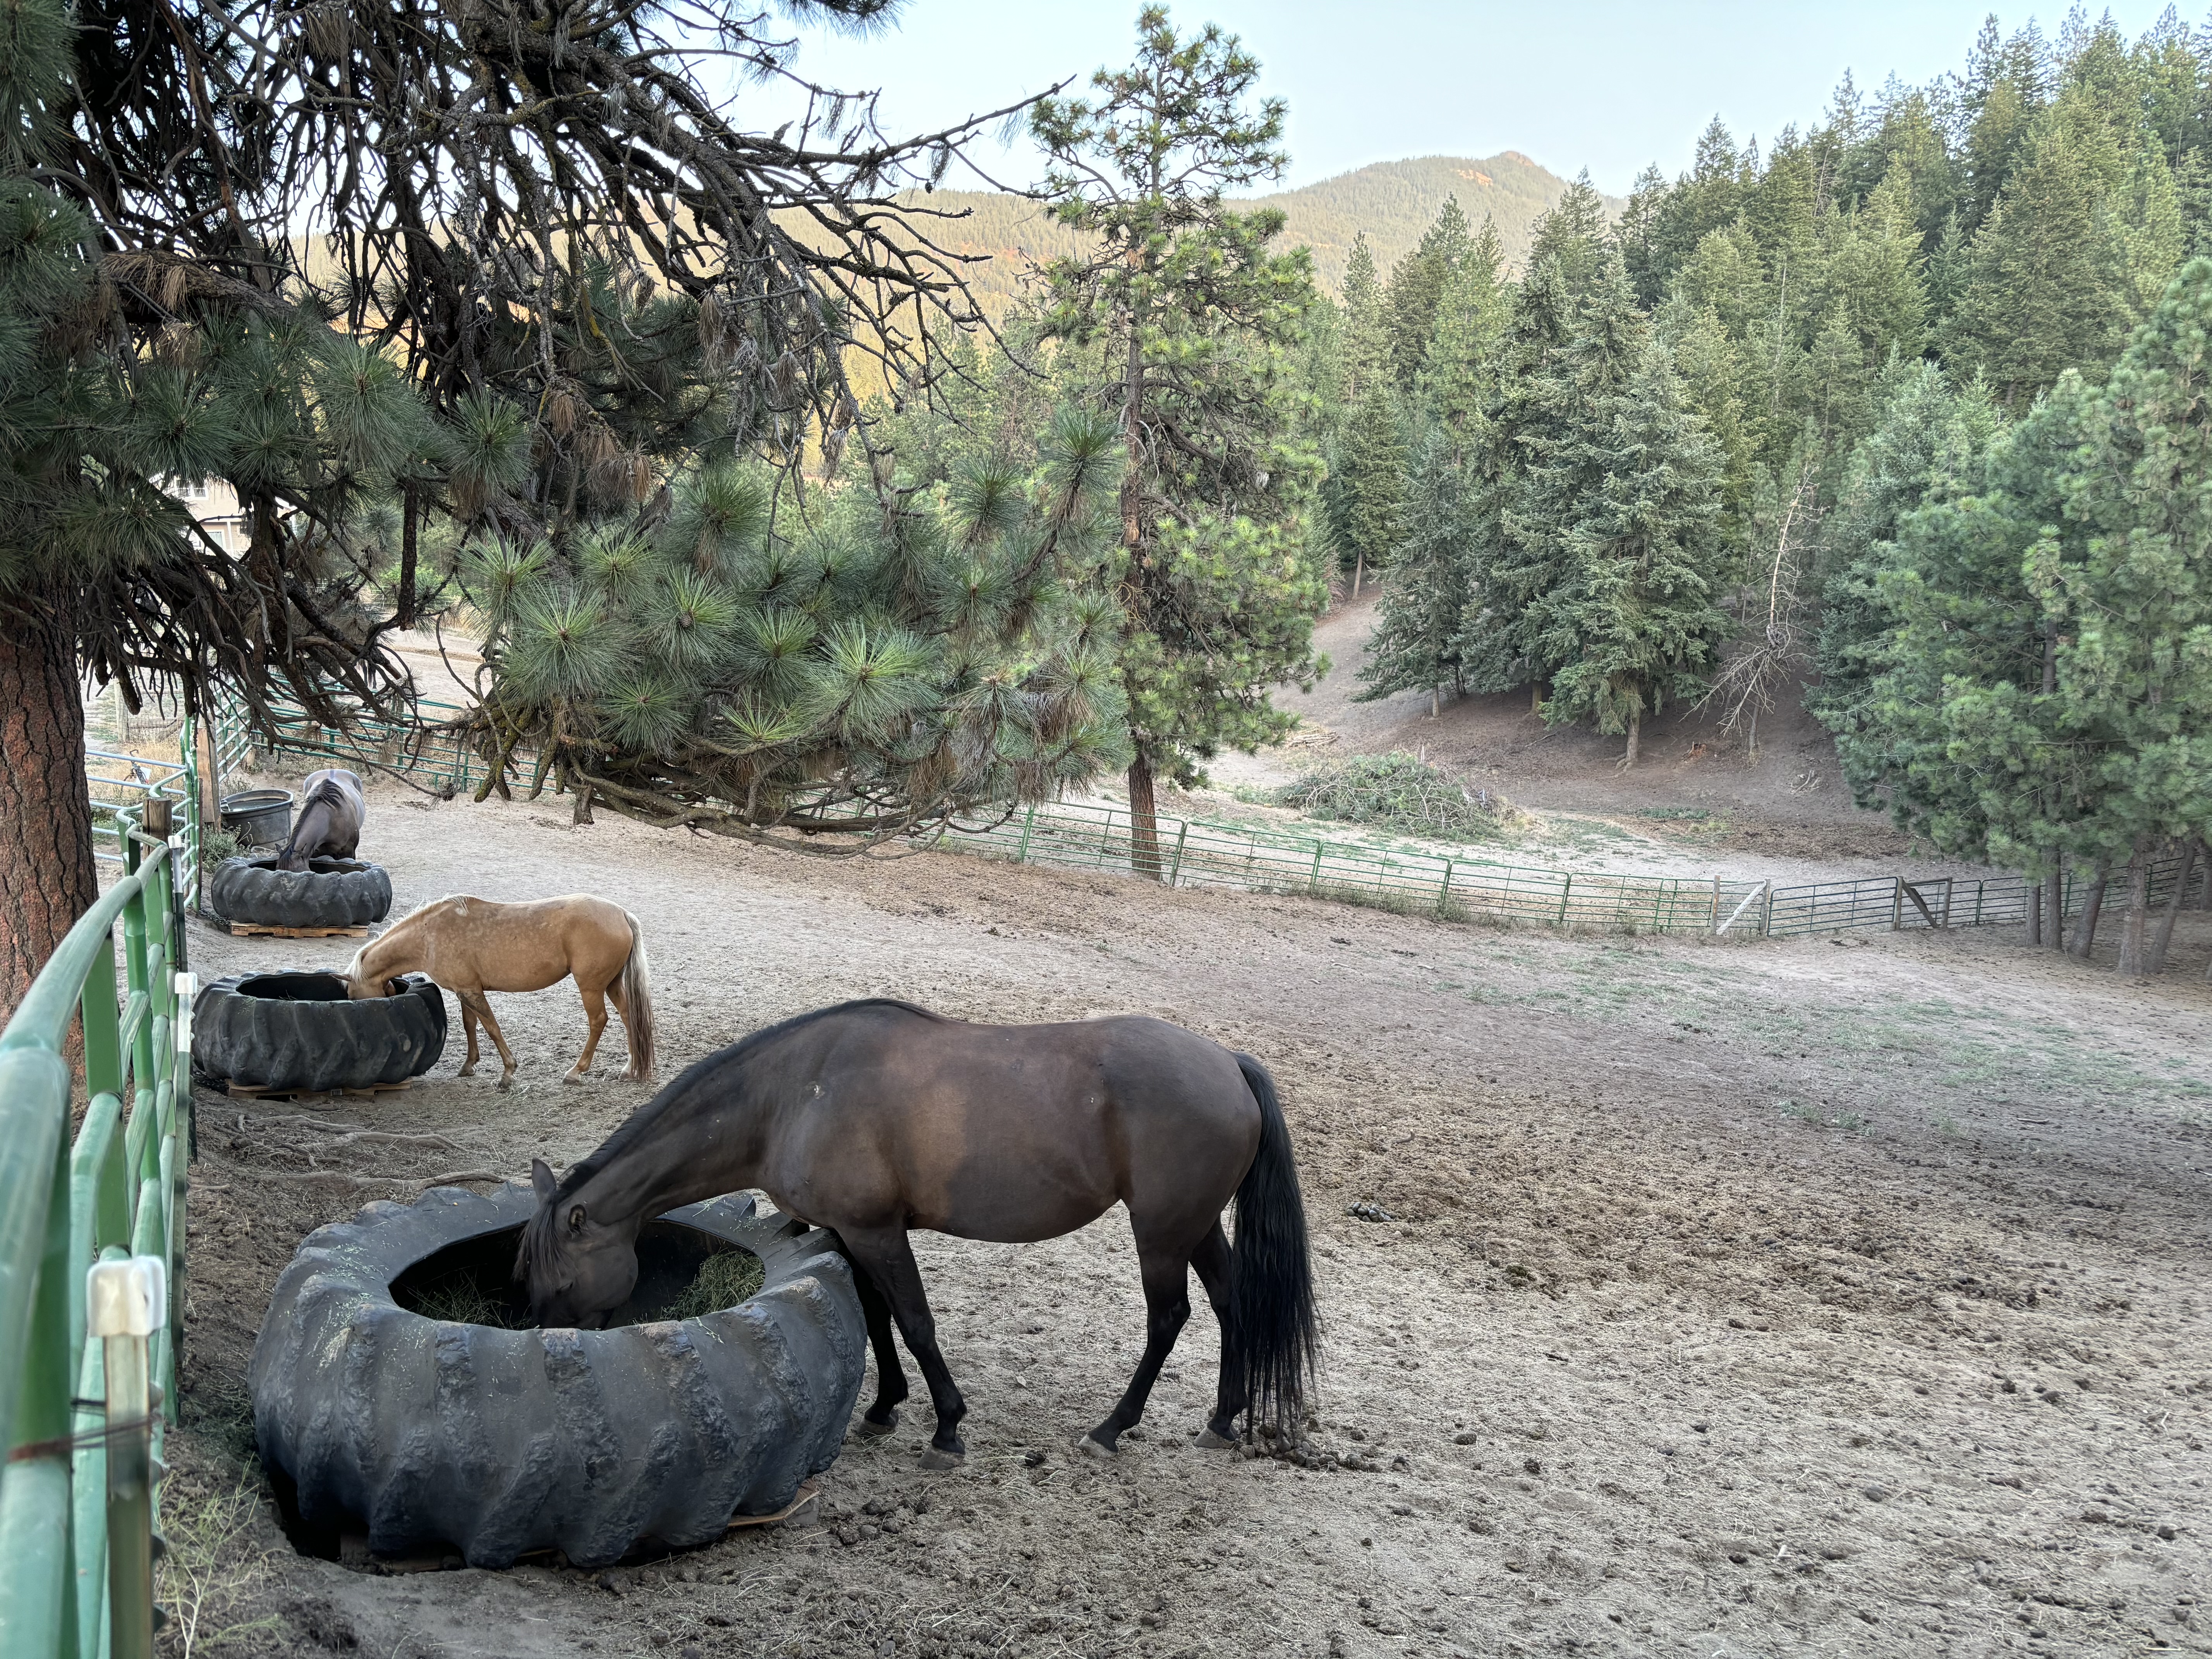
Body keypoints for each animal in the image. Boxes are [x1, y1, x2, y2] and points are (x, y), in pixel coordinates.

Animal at [346, 894, 654, 1089]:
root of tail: (622, 915)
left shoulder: (472, 992)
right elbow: (470, 1025)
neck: (429, 935)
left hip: (591, 987)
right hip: (612, 984)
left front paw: (508, 1073)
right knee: (629, 1018)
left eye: (354, 998)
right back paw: (629, 1069)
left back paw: (576, 1072)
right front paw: (469, 1066)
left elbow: (492, 1028)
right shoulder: (465, 992)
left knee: (598, 1021)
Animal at [515, 998, 1316, 1466]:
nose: (552, 1342)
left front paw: (946, 1427)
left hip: (1160, 1231)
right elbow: (875, 1316)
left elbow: (914, 1320)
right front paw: (883, 1406)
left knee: (1169, 1316)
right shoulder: (848, 1230)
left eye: (559, 1278)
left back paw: (1112, 1426)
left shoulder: (876, 1230)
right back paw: (1222, 1416)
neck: (791, 1095)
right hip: (1194, 1224)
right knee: (1231, 1302)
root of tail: (1229, 1062)